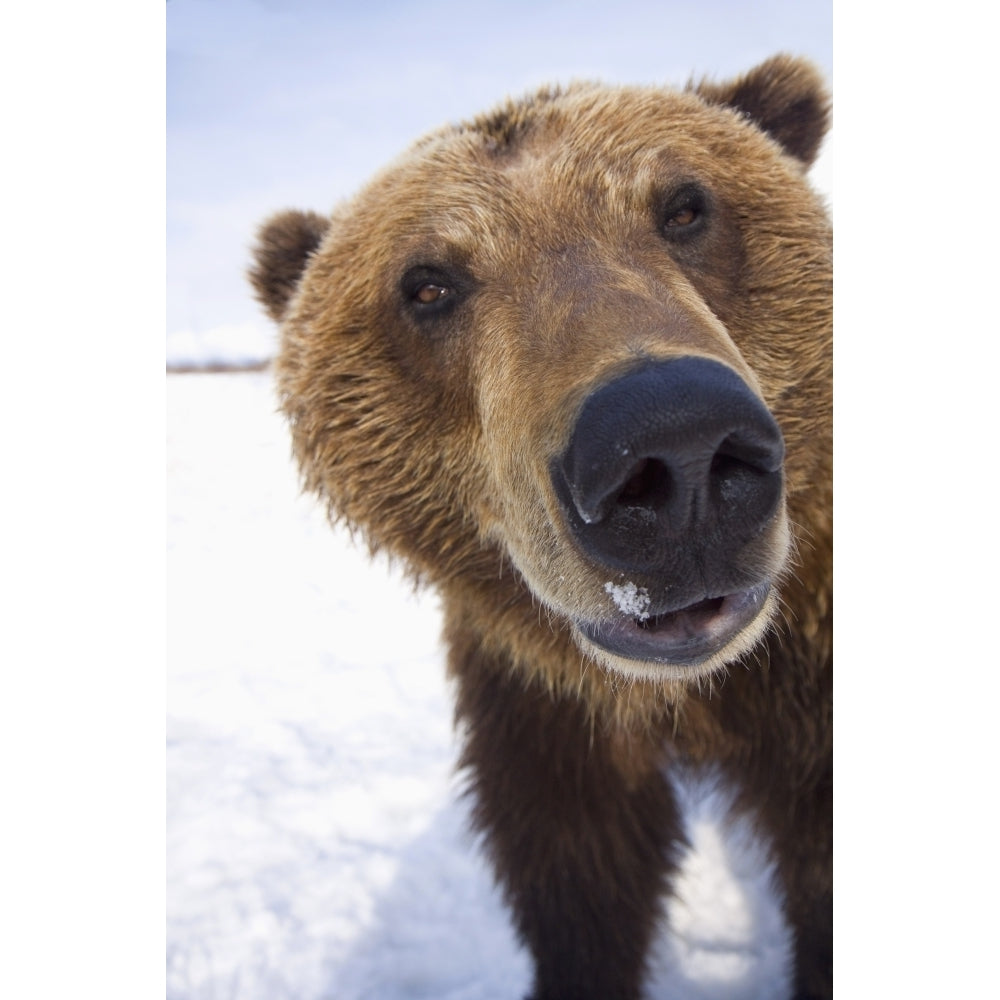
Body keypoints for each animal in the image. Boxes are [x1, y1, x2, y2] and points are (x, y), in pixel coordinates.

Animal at [254, 56, 832, 1000]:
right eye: (427, 282)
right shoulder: (540, 699)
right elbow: (579, 878)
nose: (673, 444)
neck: (693, 695)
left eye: (685, 206)